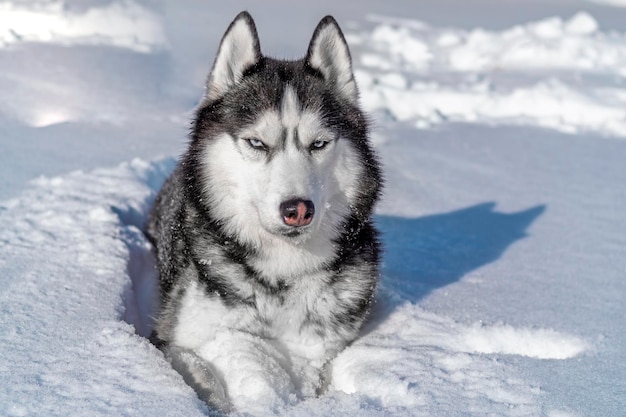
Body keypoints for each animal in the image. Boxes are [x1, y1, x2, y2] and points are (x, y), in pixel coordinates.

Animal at [147, 11, 380, 412]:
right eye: (257, 143)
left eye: (319, 144)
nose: (297, 209)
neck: (282, 272)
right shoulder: (169, 338)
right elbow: (202, 367)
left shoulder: (322, 346)